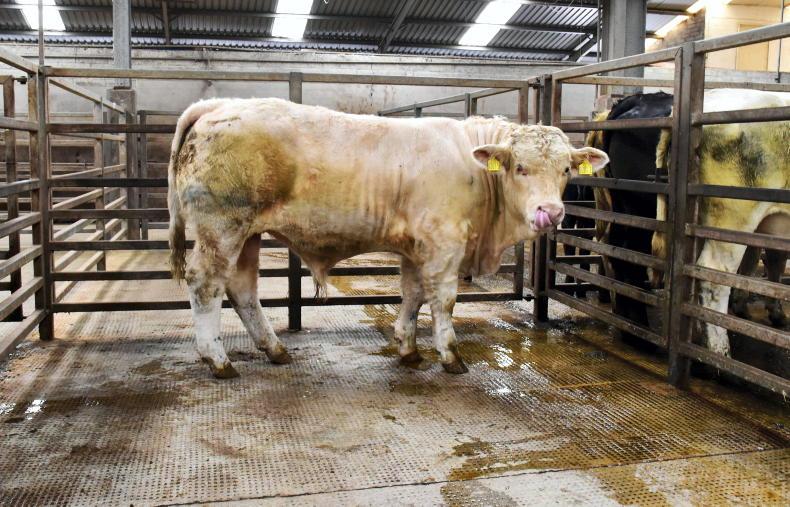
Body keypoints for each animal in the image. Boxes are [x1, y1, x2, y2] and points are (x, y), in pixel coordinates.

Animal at [167, 98, 609, 378]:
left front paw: (408, 348)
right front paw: (450, 356)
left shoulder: (417, 247)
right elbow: (443, 300)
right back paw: (218, 360)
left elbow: (412, 294)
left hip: (248, 234)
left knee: (242, 289)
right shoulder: (444, 243)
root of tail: (218, 105)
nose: (550, 212)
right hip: (221, 227)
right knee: (206, 284)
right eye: (520, 167)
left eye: (567, 169)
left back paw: (274, 350)